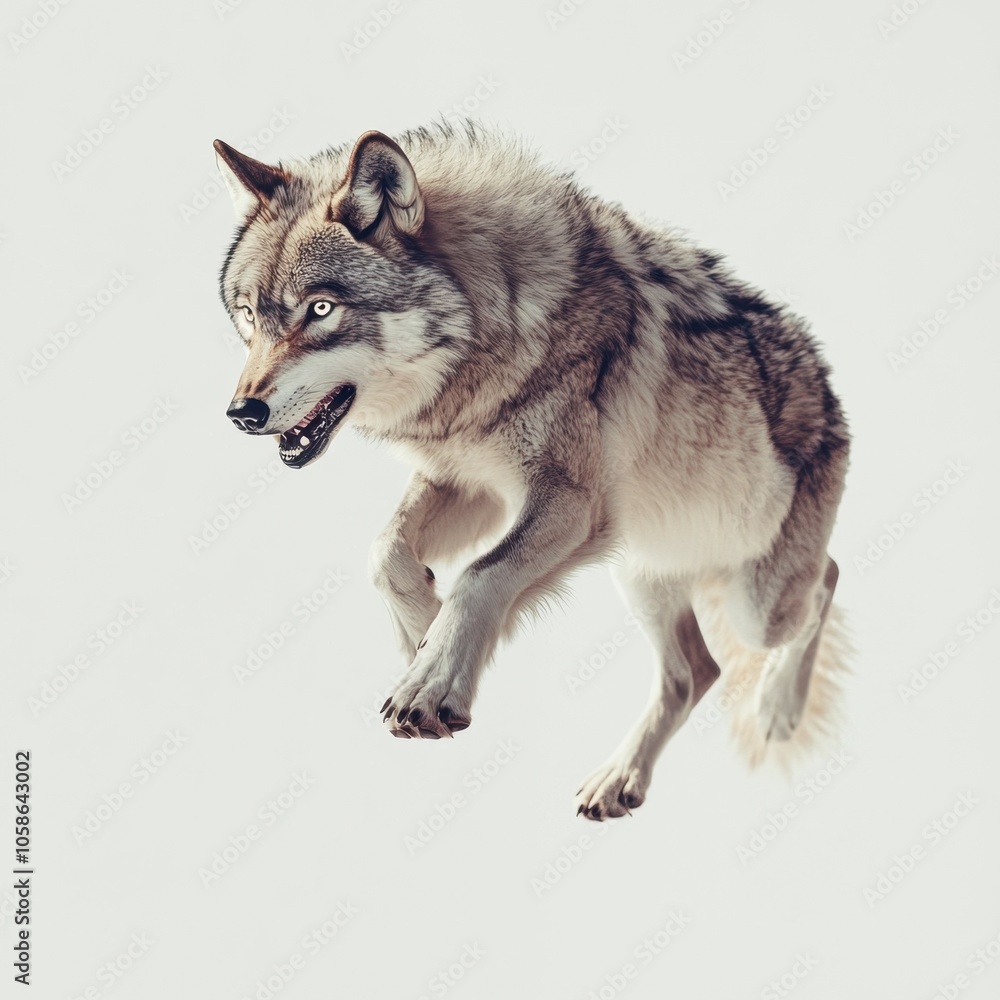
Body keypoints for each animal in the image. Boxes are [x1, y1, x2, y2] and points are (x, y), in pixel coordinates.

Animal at [214, 121, 850, 820]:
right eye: (248, 315)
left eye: (321, 310)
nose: (241, 413)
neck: (501, 325)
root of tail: (828, 383)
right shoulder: (471, 483)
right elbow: (385, 553)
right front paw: (423, 632)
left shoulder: (569, 501)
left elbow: (481, 576)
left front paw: (431, 682)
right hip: (643, 571)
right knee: (696, 672)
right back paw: (619, 780)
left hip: (753, 601)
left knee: (827, 579)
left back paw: (778, 708)